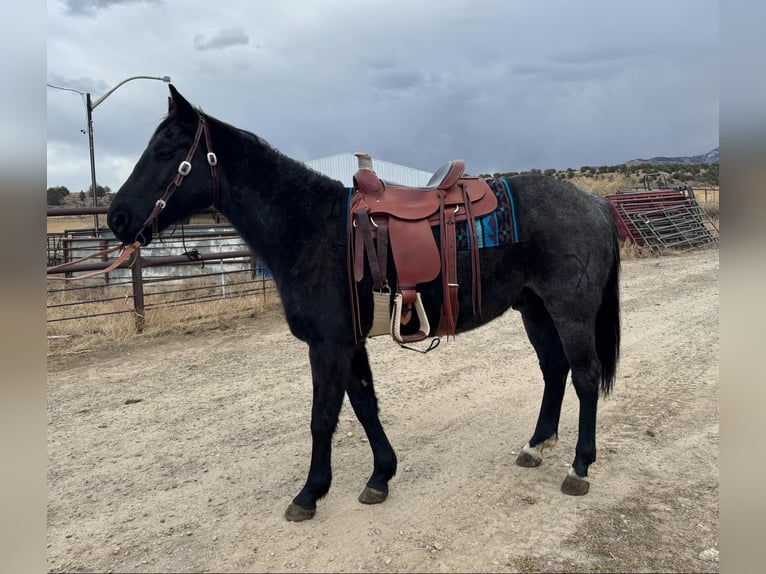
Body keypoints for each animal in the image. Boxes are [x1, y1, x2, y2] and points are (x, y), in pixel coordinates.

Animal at [109, 85, 624, 520]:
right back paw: (535, 446)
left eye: (166, 151)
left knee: (584, 377)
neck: (309, 226)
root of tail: (595, 204)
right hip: (535, 309)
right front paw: (380, 476)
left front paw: (309, 494)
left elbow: (322, 417)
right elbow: (363, 404)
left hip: (570, 312)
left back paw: (579, 467)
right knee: (554, 369)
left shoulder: (328, 344)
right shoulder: (348, 342)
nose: (116, 217)